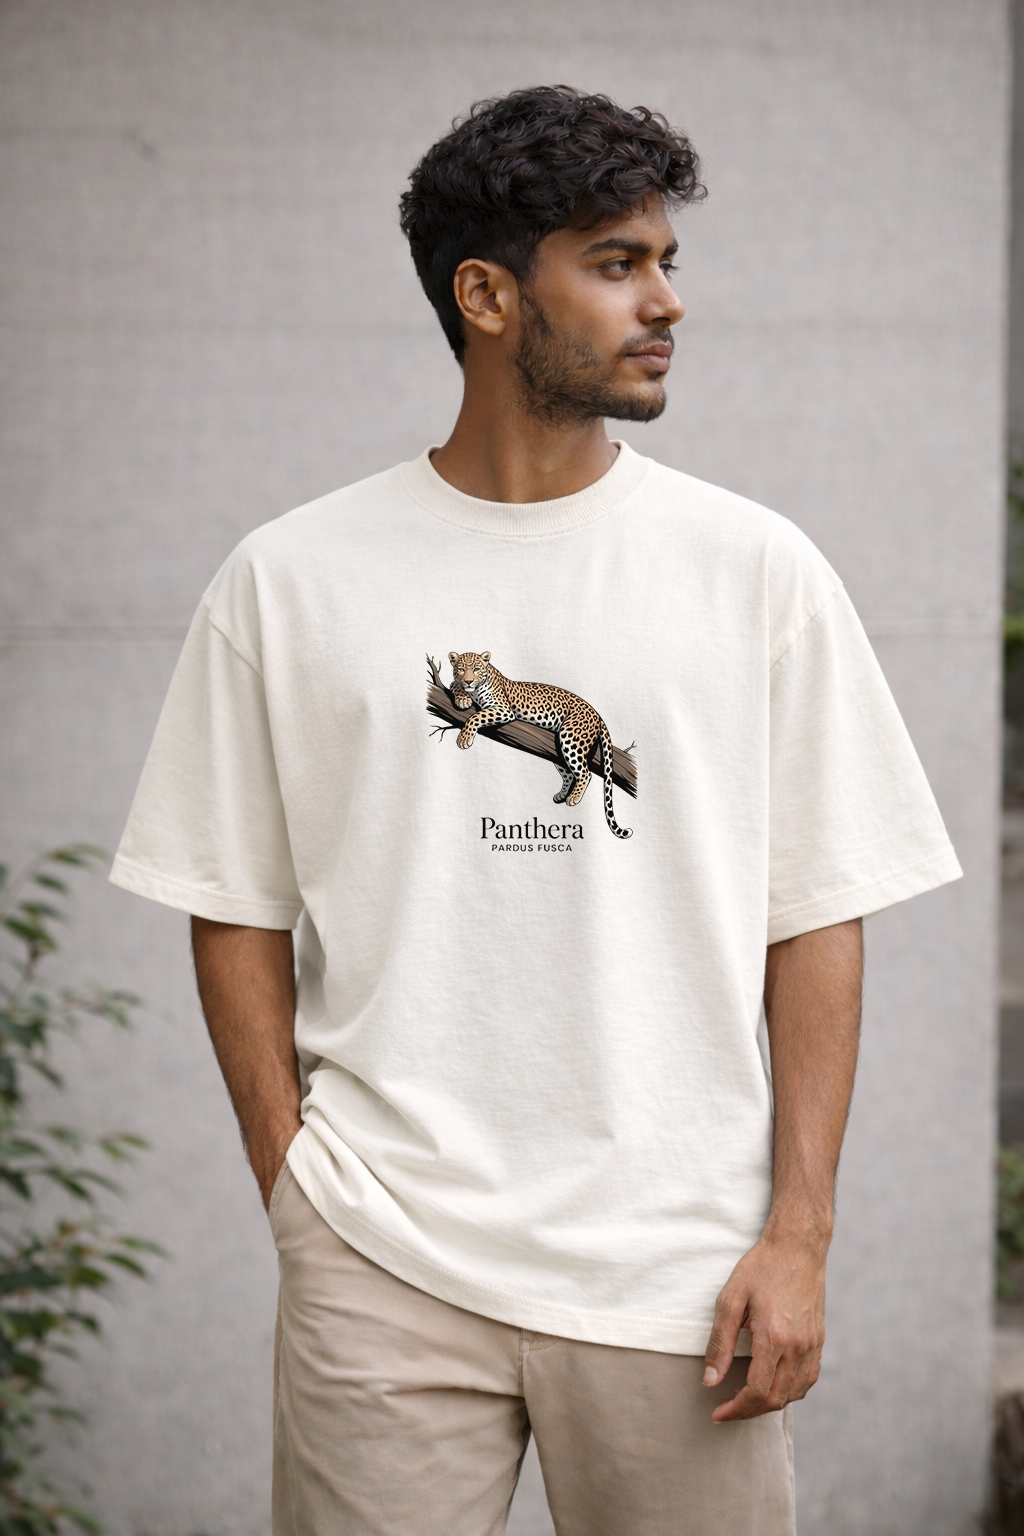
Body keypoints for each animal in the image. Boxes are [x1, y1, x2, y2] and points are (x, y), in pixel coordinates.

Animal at [448, 650, 632, 840]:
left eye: (477, 669)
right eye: (461, 669)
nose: (468, 681)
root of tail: (597, 715)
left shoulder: (503, 709)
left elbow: (476, 716)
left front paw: (464, 738)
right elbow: (453, 683)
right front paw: (463, 698)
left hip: (570, 737)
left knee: (585, 773)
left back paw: (573, 797)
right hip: (558, 751)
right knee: (569, 774)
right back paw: (562, 795)